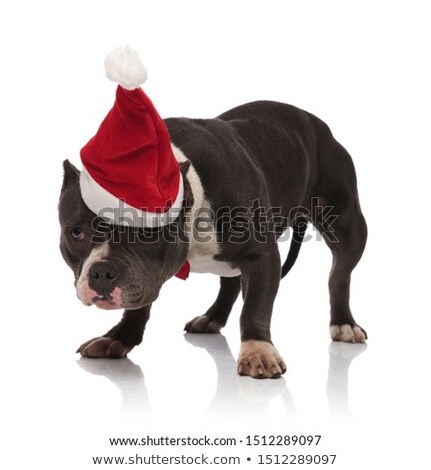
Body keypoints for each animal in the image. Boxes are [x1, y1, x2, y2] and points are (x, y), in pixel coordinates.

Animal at [58, 99, 368, 378]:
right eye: (76, 232)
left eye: (146, 233)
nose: (101, 272)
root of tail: (316, 122)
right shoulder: (145, 274)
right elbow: (138, 305)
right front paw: (119, 337)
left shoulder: (262, 255)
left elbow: (255, 307)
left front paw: (258, 350)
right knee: (231, 281)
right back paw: (212, 318)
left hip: (347, 224)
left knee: (339, 274)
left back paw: (344, 323)